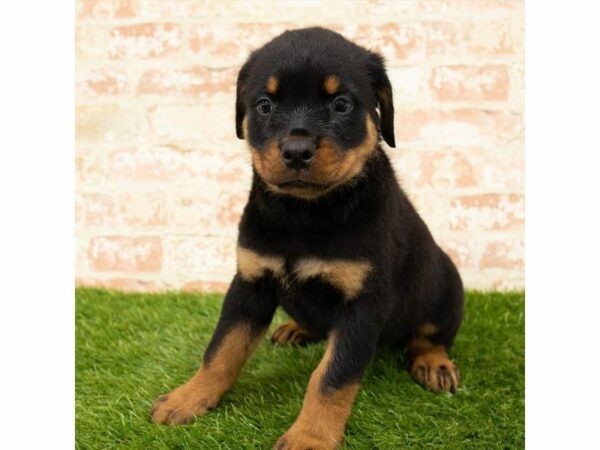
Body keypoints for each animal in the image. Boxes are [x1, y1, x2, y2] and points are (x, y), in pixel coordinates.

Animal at [150, 28, 464, 450]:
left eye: (341, 104)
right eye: (264, 105)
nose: (297, 150)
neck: (303, 214)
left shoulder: (364, 304)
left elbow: (331, 377)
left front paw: (310, 437)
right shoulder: (249, 283)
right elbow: (221, 349)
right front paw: (188, 398)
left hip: (444, 286)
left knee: (431, 334)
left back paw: (434, 363)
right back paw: (298, 329)